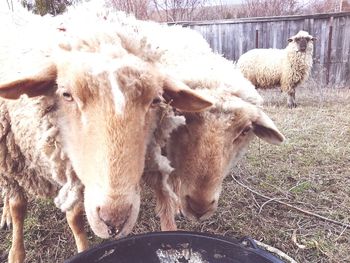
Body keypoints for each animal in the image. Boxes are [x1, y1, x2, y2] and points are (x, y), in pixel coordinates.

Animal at [0, 6, 212, 263]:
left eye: (155, 100)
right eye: (66, 94)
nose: (114, 219)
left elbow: (75, 216)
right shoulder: (11, 163)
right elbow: (19, 207)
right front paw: (16, 253)